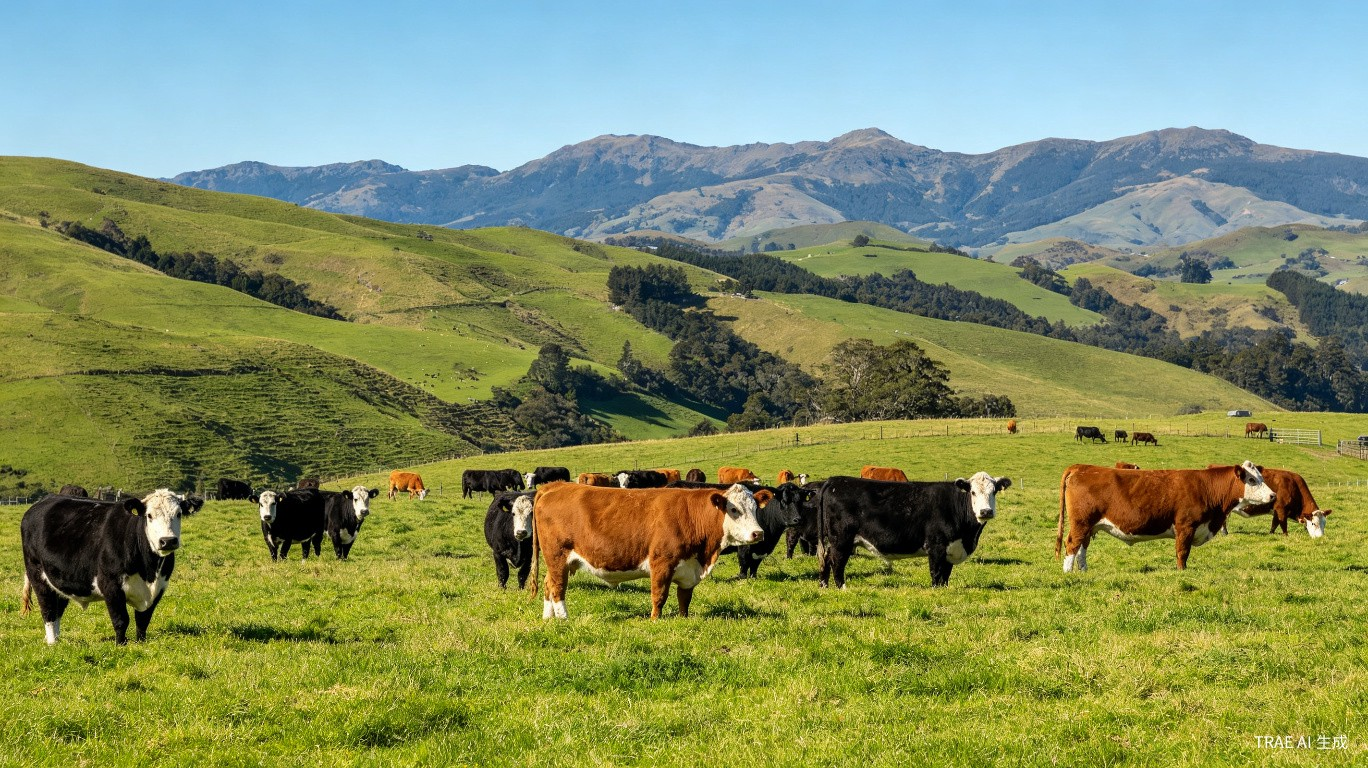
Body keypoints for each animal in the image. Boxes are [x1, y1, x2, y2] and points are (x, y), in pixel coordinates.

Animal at [20, 489, 202, 645]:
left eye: (178, 514)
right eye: (149, 516)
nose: (167, 540)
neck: (149, 571)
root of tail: (44, 500)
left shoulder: (160, 587)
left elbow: (143, 620)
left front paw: (141, 643)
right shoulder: (110, 584)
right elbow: (121, 619)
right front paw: (120, 645)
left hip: (61, 578)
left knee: (58, 608)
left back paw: (57, 640)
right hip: (37, 574)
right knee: (48, 609)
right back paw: (52, 642)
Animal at [530, 483, 769, 619]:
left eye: (755, 508)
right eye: (734, 509)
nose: (758, 533)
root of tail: (555, 486)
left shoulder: (688, 569)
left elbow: (684, 598)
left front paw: (683, 618)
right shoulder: (662, 562)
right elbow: (659, 595)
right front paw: (655, 620)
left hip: (557, 561)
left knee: (548, 584)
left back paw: (548, 618)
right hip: (557, 556)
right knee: (557, 587)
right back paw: (563, 619)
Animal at [818, 473, 1011, 588]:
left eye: (994, 491)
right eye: (973, 492)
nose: (985, 511)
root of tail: (834, 480)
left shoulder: (950, 549)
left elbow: (946, 575)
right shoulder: (936, 546)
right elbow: (936, 573)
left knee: (826, 559)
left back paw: (824, 586)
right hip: (841, 540)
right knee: (837, 562)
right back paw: (842, 588)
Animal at [1056, 461, 1276, 572]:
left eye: (1261, 477)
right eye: (1251, 480)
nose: (1273, 495)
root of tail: (1082, 467)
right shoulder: (1186, 526)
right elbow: (1182, 551)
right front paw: (1181, 571)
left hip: (1089, 525)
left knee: (1082, 547)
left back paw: (1083, 571)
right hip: (1081, 522)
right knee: (1072, 544)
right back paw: (1068, 573)